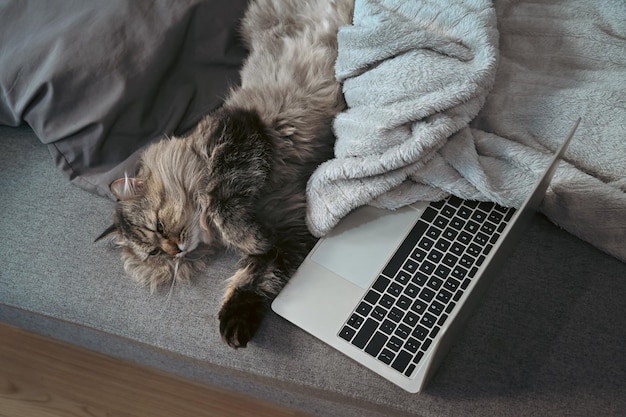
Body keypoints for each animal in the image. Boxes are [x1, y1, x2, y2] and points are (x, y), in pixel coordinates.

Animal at [95, 0, 354, 346]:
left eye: (159, 226)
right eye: (154, 252)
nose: (174, 251)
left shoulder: (237, 137)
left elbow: (221, 200)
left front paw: (248, 238)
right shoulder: (288, 231)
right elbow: (257, 278)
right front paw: (235, 323)